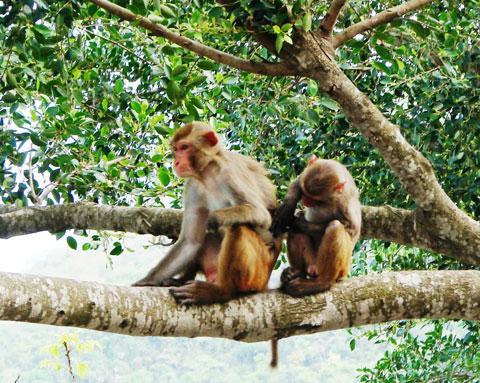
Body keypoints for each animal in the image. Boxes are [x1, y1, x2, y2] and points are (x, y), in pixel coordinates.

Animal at [132, 121, 282, 308]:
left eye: (184, 147)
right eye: (175, 149)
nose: (176, 161)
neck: (208, 172)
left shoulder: (229, 172)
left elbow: (260, 214)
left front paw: (215, 217)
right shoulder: (192, 186)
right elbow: (190, 242)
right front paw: (147, 280)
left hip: (259, 272)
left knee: (237, 226)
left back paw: (220, 291)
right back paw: (181, 280)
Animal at [272, 155, 362, 296]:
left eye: (316, 199)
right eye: (305, 193)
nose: (305, 201)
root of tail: (314, 268)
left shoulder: (346, 203)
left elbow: (351, 229)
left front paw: (299, 222)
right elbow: (298, 181)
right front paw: (287, 209)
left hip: (342, 268)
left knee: (335, 226)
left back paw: (321, 282)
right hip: (311, 260)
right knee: (295, 232)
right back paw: (297, 273)